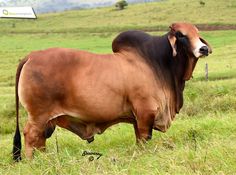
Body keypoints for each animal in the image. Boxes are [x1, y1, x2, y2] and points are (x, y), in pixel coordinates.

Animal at [12, 22, 212, 161]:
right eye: (180, 35)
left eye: (197, 33)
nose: (203, 49)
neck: (156, 62)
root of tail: (31, 56)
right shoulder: (146, 112)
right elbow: (144, 139)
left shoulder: (137, 118)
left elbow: (139, 138)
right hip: (38, 116)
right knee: (31, 136)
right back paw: (32, 162)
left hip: (46, 120)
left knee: (40, 140)